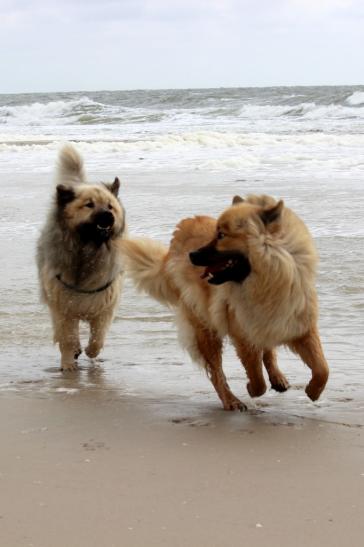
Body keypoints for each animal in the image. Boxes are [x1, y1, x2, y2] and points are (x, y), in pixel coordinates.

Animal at [36, 144, 126, 372]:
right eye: (89, 205)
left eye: (110, 206)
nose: (108, 216)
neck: (88, 250)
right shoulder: (63, 307)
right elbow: (67, 337)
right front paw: (68, 364)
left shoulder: (104, 306)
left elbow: (97, 338)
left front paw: (91, 352)